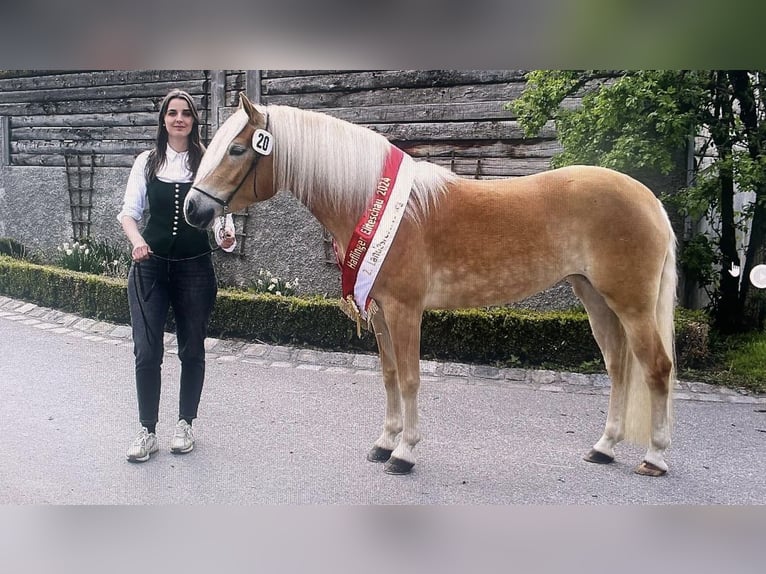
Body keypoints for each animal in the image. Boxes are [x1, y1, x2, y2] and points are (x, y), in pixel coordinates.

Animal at [186, 94, 680, 480]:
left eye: (236, 149)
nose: (193, 209)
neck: (377, 205)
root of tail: (648, 198)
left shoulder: (405, 310)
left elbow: (409, 378)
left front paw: (404, 453)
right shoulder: (380, 310)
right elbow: (388, 376)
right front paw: (384, 442)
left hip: (631, 304)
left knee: (655, 367)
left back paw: (655, 457)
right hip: (594, 297)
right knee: (619, 367)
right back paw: (604, 447)